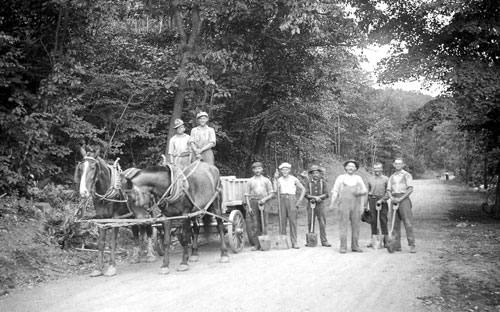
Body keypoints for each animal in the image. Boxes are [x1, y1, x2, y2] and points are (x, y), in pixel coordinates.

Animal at [74, 146, 155, 276]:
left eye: (93, 167)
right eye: (80, 168)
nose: (83, 192)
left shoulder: (115, 219)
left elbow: (112, 243)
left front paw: (111, 267)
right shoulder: (101, 219)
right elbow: (101, 243)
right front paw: (98, 268)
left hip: (148, 212)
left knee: (149, 230)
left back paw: (150, 254)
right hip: (132, 216)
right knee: (136, 232)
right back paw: (136, 256)